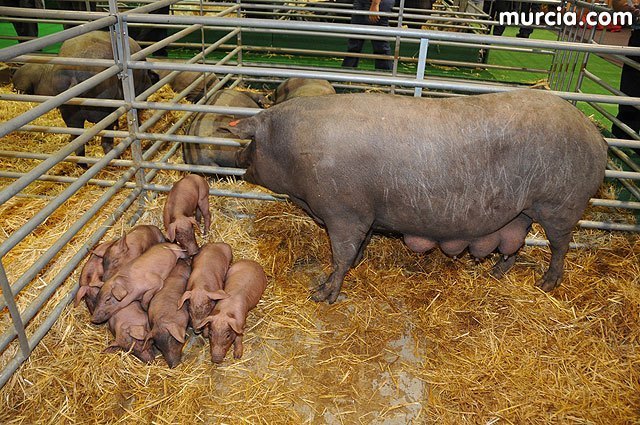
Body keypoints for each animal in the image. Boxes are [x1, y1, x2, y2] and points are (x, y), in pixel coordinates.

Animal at [228, 89, 608, 302]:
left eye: (252, 142)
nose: (238, 159)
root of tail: (597, 138)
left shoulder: (344, 212)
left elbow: (342, 255)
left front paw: (321, 295)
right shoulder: (365, 215)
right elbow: (360, 246)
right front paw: (358, 263)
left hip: (561, 205)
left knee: (560, 246)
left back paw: (546, 284)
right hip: (523, 210)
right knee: (516, 241)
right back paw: (494, 275)